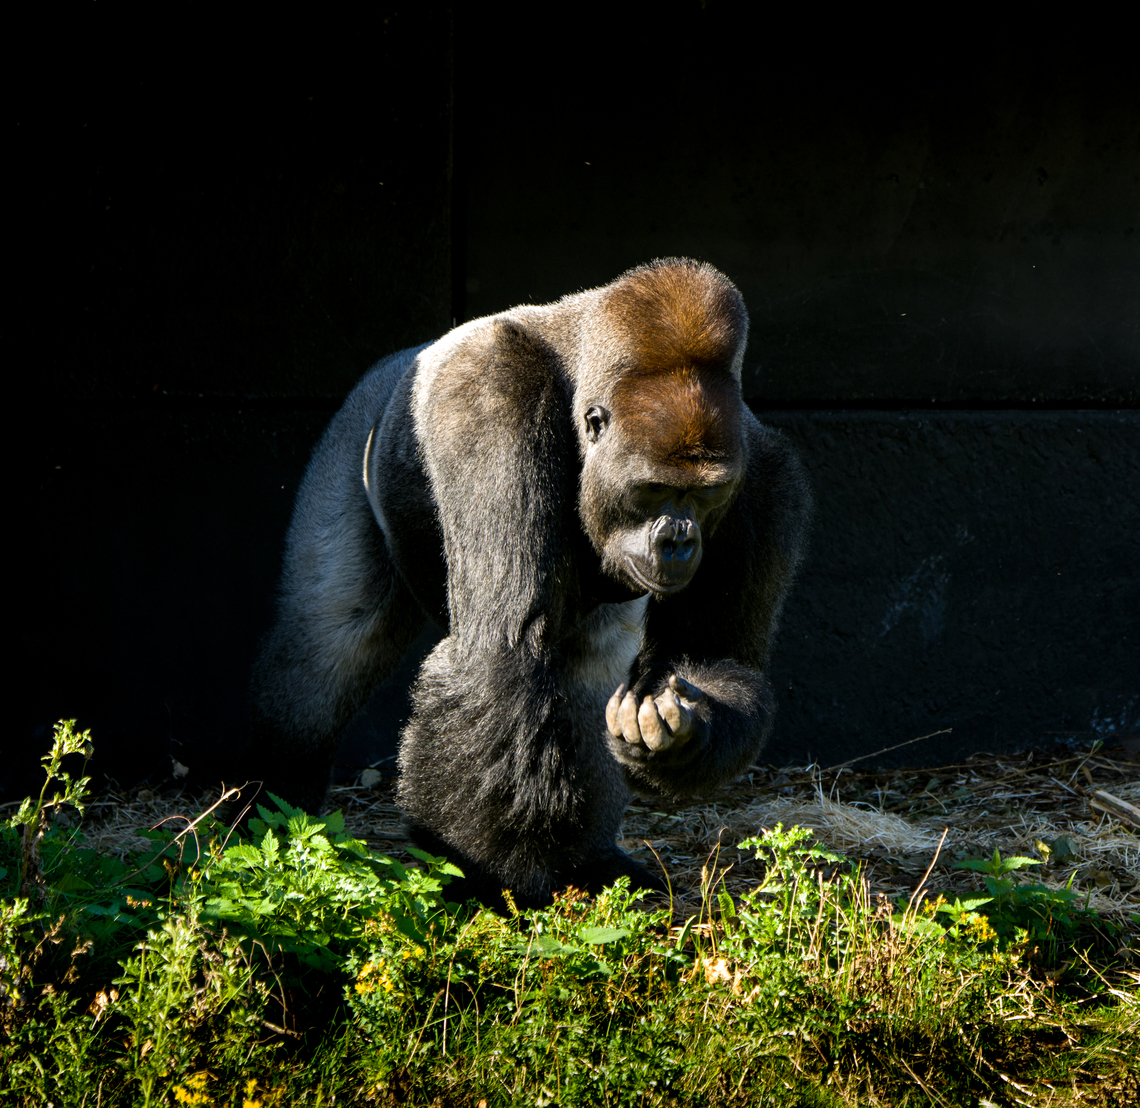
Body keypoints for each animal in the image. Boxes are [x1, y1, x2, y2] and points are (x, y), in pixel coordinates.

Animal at [247, 258, 811, 907]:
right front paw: (492, 874)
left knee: (587, 660)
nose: (679, 540)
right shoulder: (492, 394)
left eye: (704, 494)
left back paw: (592, 859)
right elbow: (502, 647)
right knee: (331, 643)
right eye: (655, 490)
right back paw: (270, 810)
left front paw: (680, 739)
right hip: (355, 430)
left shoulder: (766, 474)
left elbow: (716, 660)